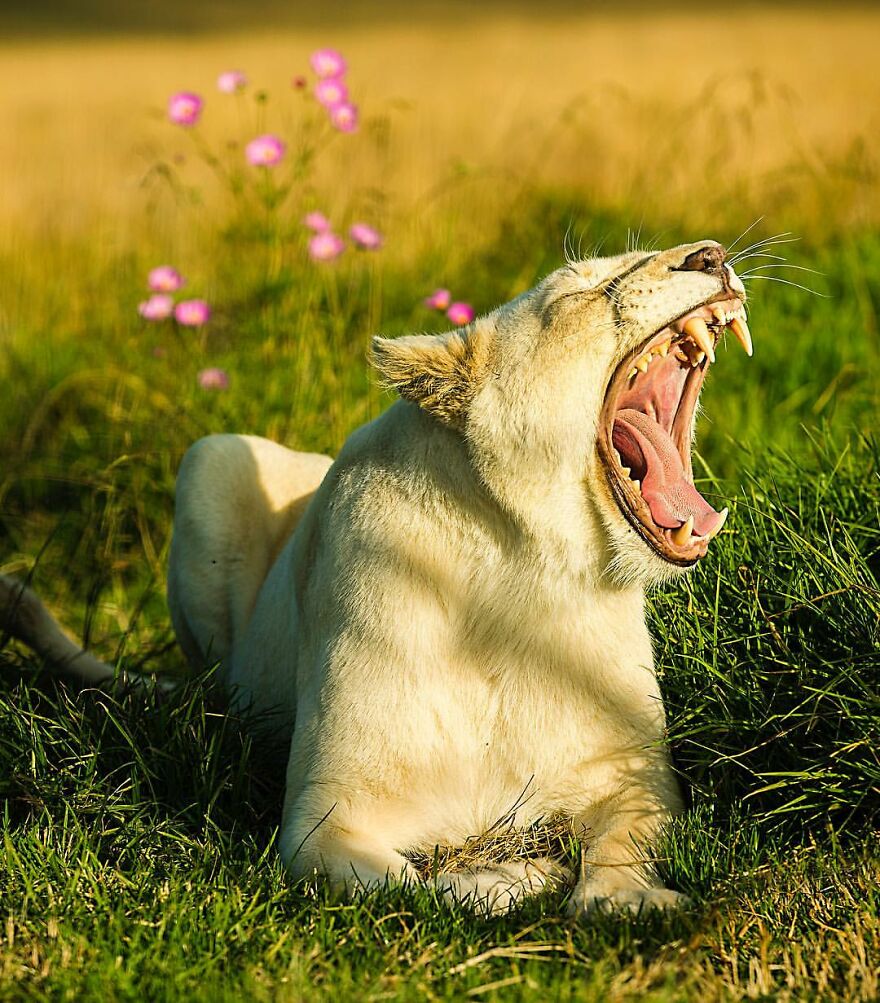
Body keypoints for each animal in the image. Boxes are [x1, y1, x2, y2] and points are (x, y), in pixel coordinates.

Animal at [0, 240, 752, 916]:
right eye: (585, 289)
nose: (712, 256)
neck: (525, 576)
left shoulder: (639, 780)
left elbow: (623, 847)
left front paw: (625, 899)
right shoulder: (327, 818)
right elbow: (411, 885)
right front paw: (517, 876)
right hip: (211, 457)